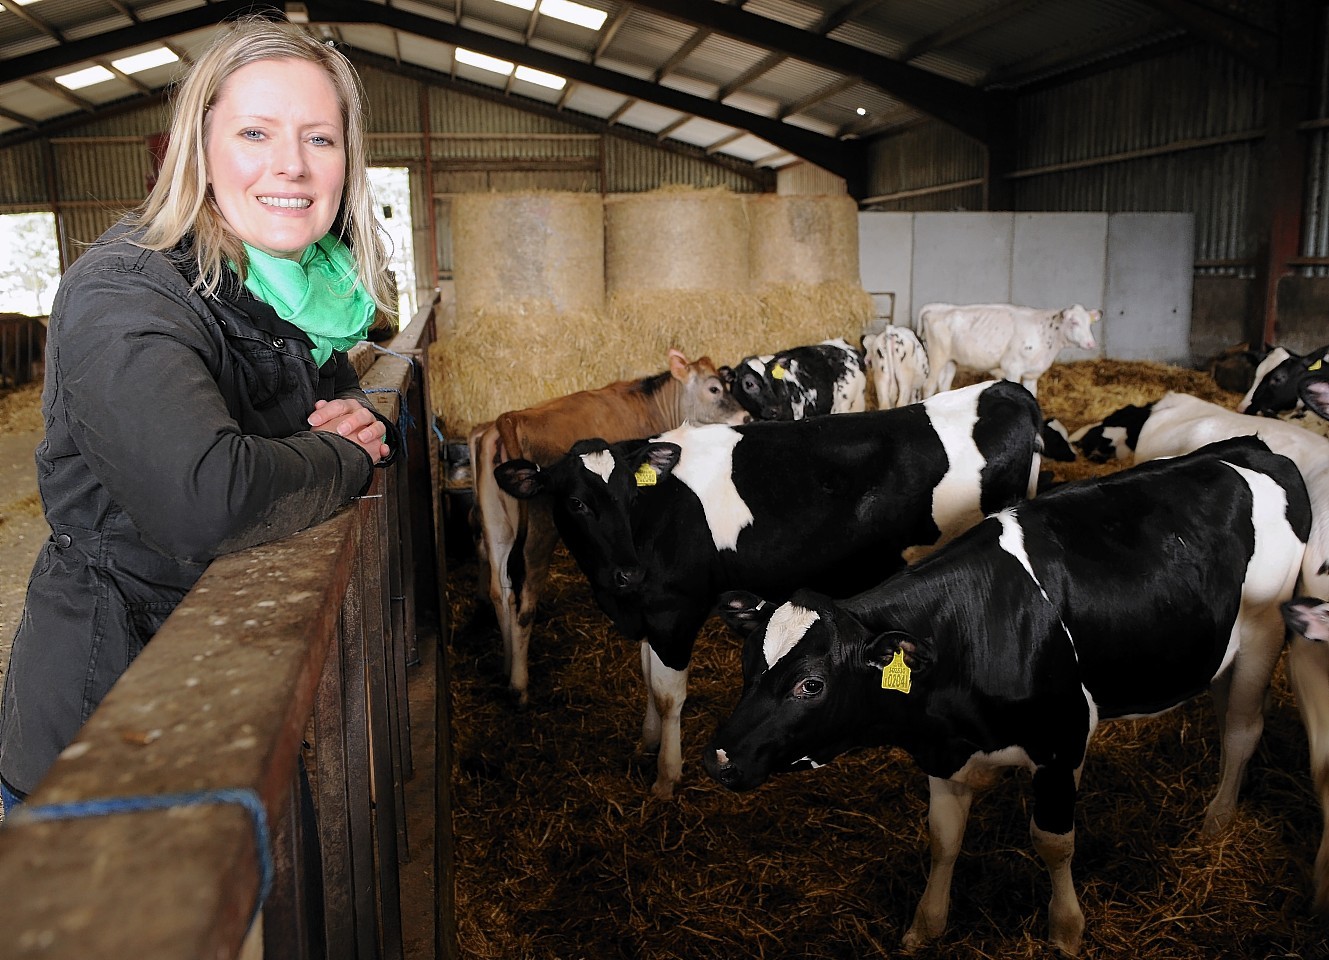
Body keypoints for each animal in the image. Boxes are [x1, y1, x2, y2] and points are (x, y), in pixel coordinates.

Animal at [473, 348, 754, 702]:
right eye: (714, 388)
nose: (746, 417)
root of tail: (509, 418)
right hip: (540, 529)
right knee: (525, 604)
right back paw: (519, 686)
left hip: (496, 525)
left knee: (501, 590)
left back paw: (507, 666)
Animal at [494, 380, 1041, 792]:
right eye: (575, 502)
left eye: (630, 494)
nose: (627, 571)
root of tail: (1003, 389)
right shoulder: (649, 609)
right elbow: (648, 676)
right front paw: (647, 742)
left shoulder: (675, 610)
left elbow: (669, 692)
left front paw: (666, 779)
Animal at [707, 438, 1307, 952]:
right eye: (747, 665)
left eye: (811, 685)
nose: (719, 759)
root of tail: (1250, 446)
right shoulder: (943, 748)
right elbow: (944, 838)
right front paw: (926, 925)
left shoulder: (1063, 742)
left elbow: (1053, 841)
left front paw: (1066, 929)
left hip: (1263, 631)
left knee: (1242, 731)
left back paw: (1216, 821)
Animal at [919, 303, 1095, 398]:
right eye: (1074, 322)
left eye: (1089, 323)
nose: (1091, 343)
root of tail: (938, 308)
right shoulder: (1012, 367)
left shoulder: (1032, 374)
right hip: (936, 357)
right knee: (928, 386)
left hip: (950, 361)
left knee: (944, 385)